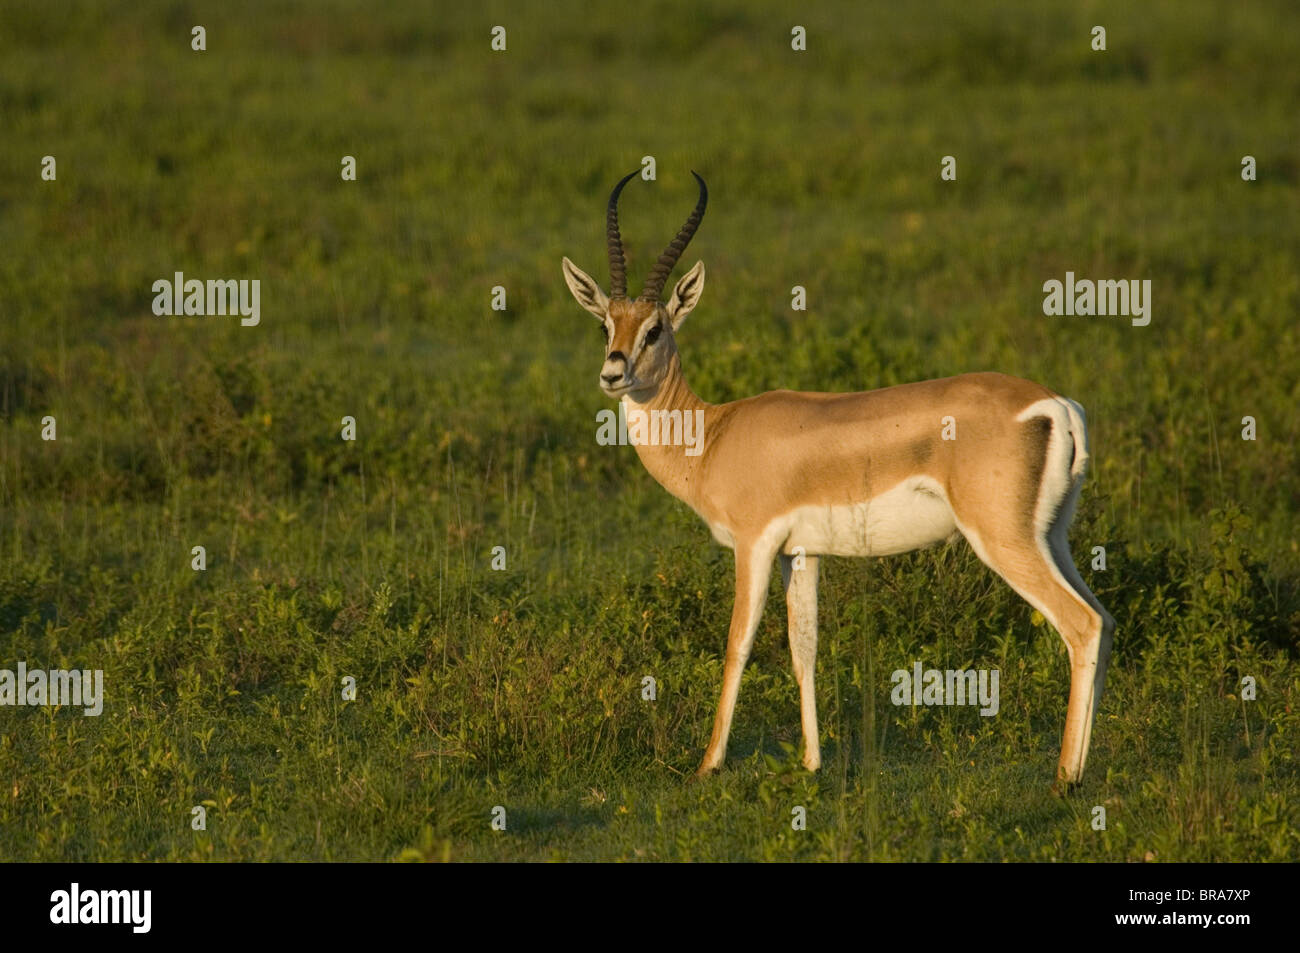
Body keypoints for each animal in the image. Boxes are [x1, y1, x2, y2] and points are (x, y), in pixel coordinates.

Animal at [562, 170, 1115, 789]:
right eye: (606, 324)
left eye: (655, 329)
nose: (613, 373)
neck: (714, 435)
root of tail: (1056, 405)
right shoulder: (800, 553)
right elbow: (803, 647)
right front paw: (811, 762)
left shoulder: (753, 545)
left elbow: (738, 644)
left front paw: (708, 764)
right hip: (1052, 539)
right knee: (1105, 621)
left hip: (1003, 541)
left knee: (1080, 625)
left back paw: (1066, 777)